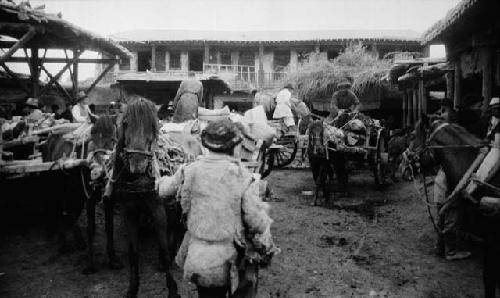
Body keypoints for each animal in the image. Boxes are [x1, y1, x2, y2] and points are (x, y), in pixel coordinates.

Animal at [110, 96, 180, 296]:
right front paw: (133, 288)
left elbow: (163, 248)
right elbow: (133, 252)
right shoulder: (129, 212)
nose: (138, 164)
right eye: (125, 123)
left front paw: (173, 289)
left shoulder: (158, 209)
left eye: (153, 125)